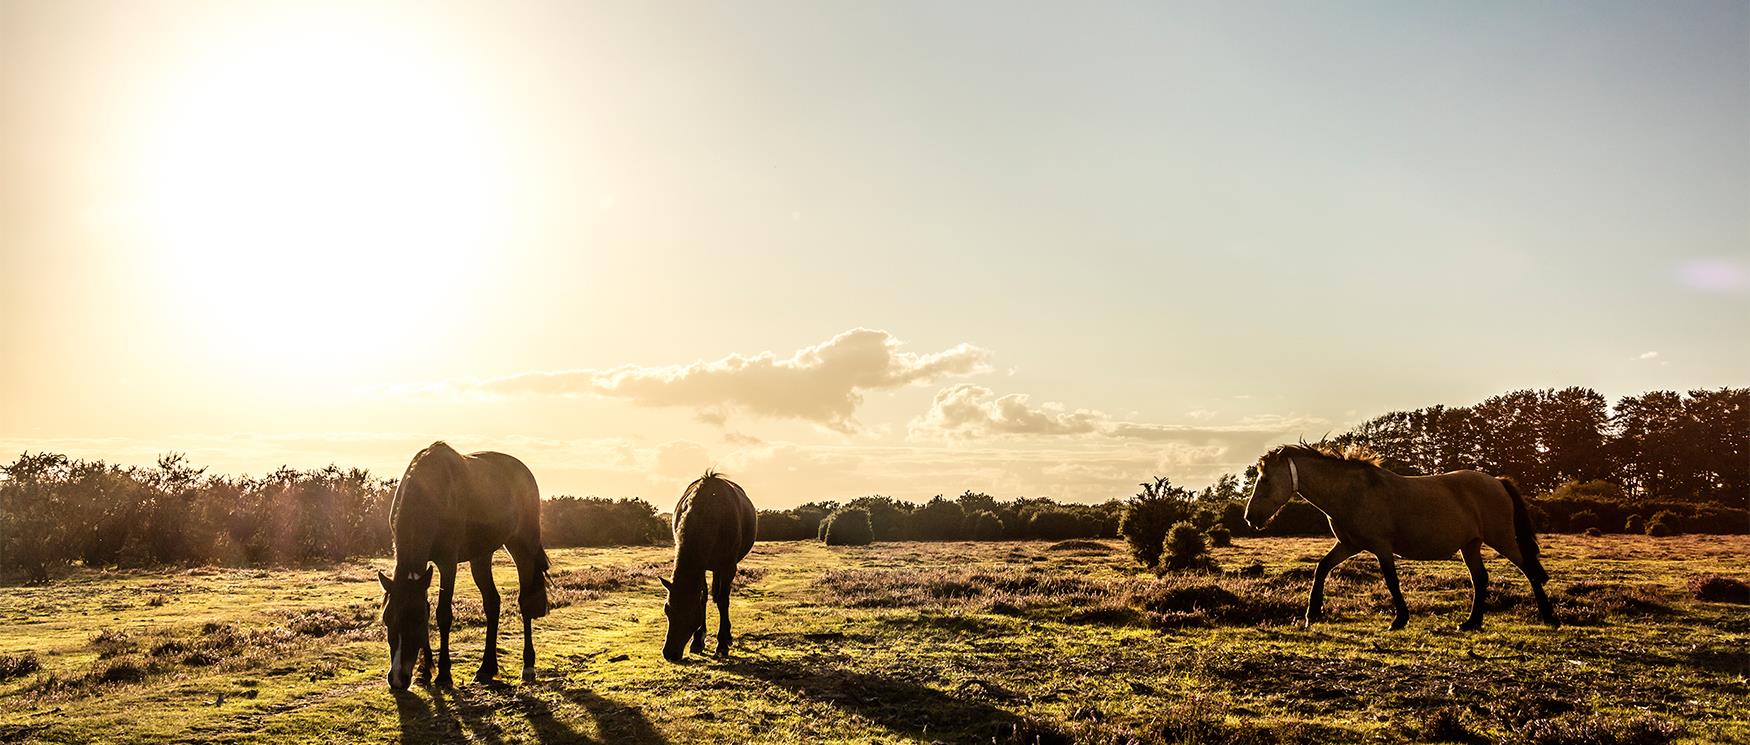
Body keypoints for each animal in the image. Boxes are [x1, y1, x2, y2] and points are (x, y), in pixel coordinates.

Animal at [376, 438, 546, 689]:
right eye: (387, 619)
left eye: (416, 620)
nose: (397, 678)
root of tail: (525, 472)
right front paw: (425, 672)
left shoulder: (448, 562)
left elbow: (443, 614)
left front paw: (444, 674)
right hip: (481, 555)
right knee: (492, 603)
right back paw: (486, 669)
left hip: (522, 546)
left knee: (525, 602)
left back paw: (528, 666)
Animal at [658, 475, 756, 661]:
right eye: (667, 609)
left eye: (690, 613)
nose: (670, 654)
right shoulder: (702, 567)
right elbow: (703, 597)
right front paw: (698, 640)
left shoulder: (728, 566)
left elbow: (723, 601)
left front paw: (722, 644)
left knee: (722, 597)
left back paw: (727, 636)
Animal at [1246, 442, 1561, 629]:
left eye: (1265, 479)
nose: (1250, 517)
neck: (1352, 493)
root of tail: (1497, 481)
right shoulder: (1349, 545)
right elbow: (1322, 568)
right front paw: (1312, 614)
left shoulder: (1381, 547)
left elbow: (1391, 580)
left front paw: (1399, 619)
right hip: (1470, 545)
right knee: (1480, 579)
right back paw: (1471, 622)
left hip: (1503, 539)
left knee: (1529, 570)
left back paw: (1548, 616)